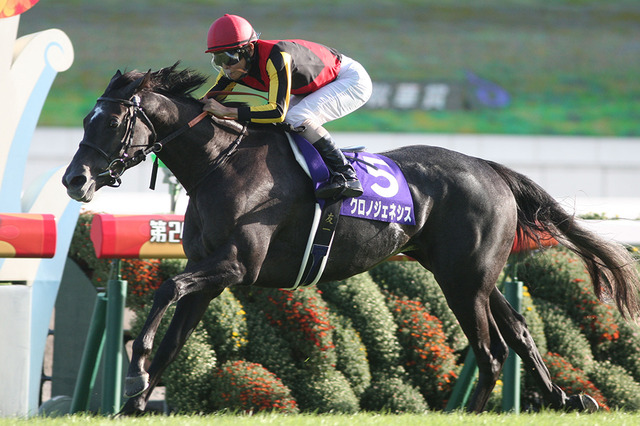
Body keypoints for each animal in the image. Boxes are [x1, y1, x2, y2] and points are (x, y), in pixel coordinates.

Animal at [62, 64, 640, 415]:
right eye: (86, 118)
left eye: (109, 122)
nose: (74, 179)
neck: (220, 165)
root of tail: (490, 167)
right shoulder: (212, 274)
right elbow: (176, 331)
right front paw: (134, 401)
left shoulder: (237, 266)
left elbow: (167, 289)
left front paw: (135, 365)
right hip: (467, 273)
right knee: (517, 330)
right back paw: (564, 398)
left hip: (464, 279)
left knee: (491, 349)